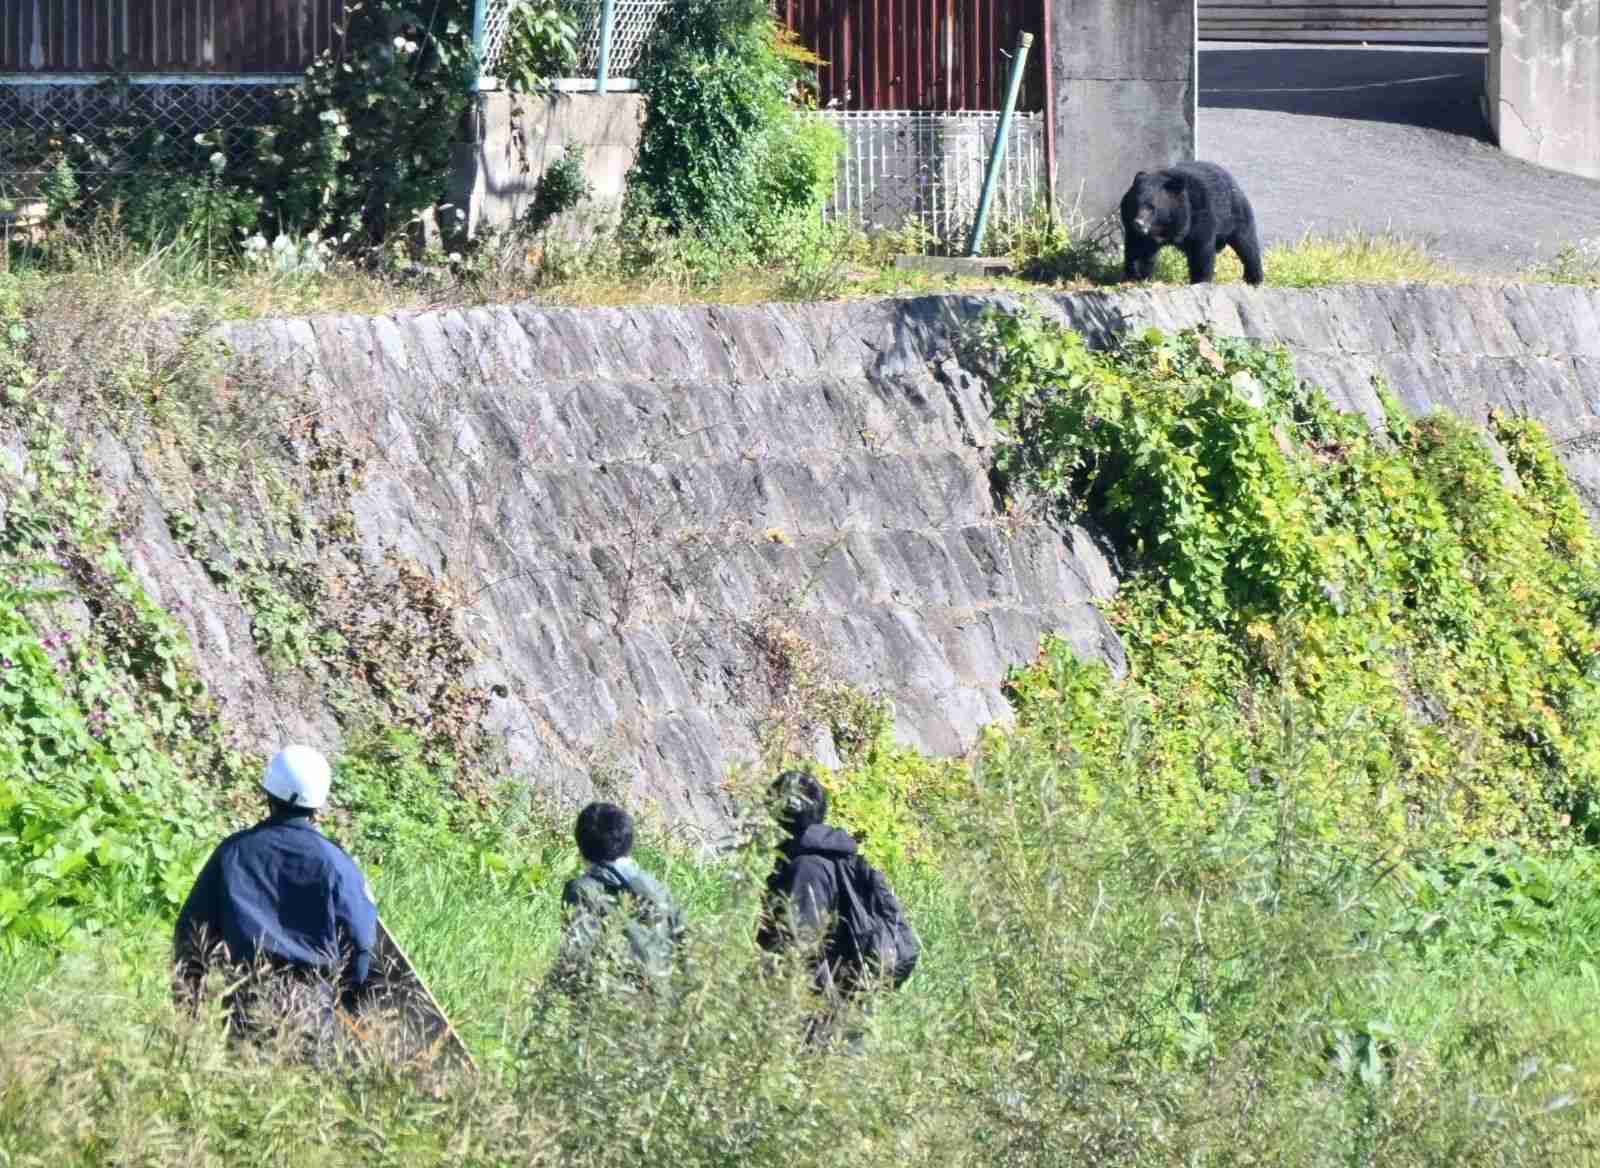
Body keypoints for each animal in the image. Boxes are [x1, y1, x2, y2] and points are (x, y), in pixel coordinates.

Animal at [1120, 161, 1264, 286]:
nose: (1138, 223)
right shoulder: (1140, 234)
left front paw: (1200, 280)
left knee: (1247, 244)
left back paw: (1254, 279)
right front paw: (1136, 278)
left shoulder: (1199, 215)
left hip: (1235, 214)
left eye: (1151, 207)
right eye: (1134, 204)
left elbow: (1200, 250)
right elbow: (1139, 251)